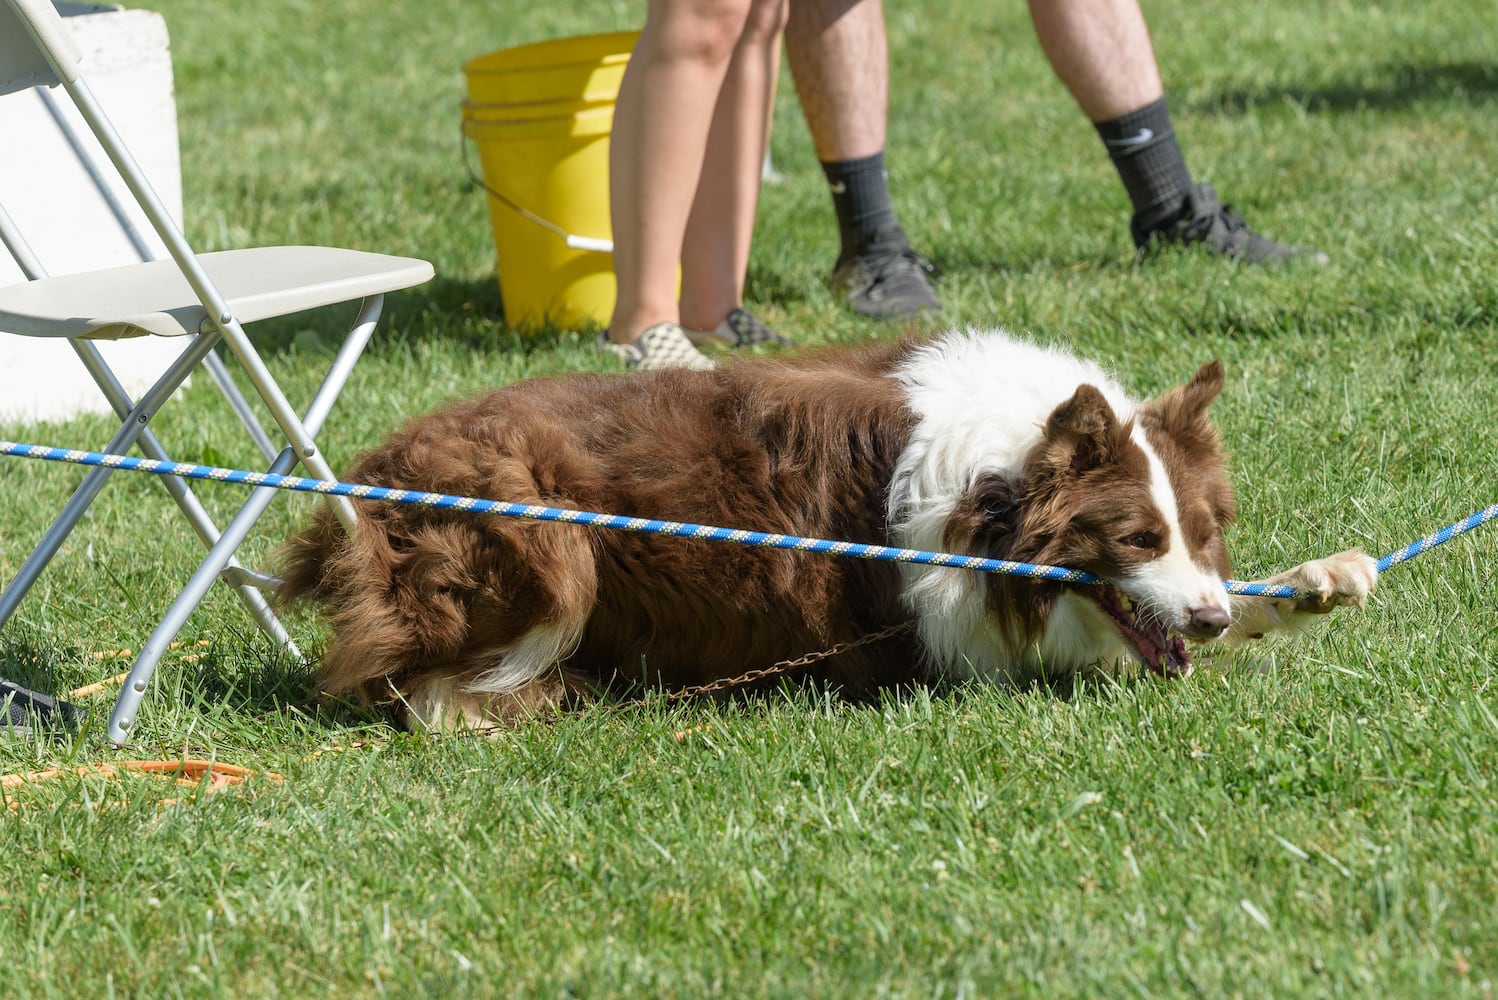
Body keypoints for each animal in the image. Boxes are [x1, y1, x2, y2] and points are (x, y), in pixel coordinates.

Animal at [275, 327, 1372, 727]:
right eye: (1136, 540)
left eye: (1201, 533)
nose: (1208, 620)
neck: (995, 495)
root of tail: (369, 472)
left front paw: (1320, 578)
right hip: (542, 530)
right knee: (416, 684)